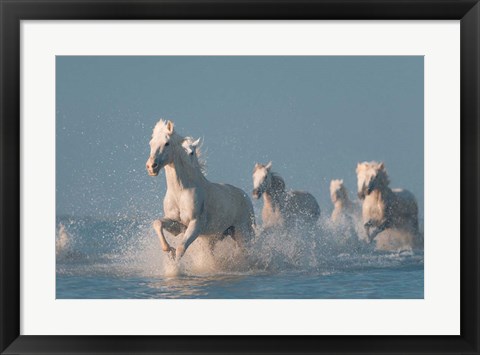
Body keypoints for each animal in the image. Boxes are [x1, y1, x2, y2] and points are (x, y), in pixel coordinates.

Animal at [145, 120, 255, 262]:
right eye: (151, 143)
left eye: (167, 143)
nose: (151, 167)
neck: (181, 191)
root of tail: (246, 196)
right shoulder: (177, 224)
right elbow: (157, 223)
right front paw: (168, 249)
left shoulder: (195, 224)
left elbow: (181, 248)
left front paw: (175, 262)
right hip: (214, 237)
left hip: (243, 233)